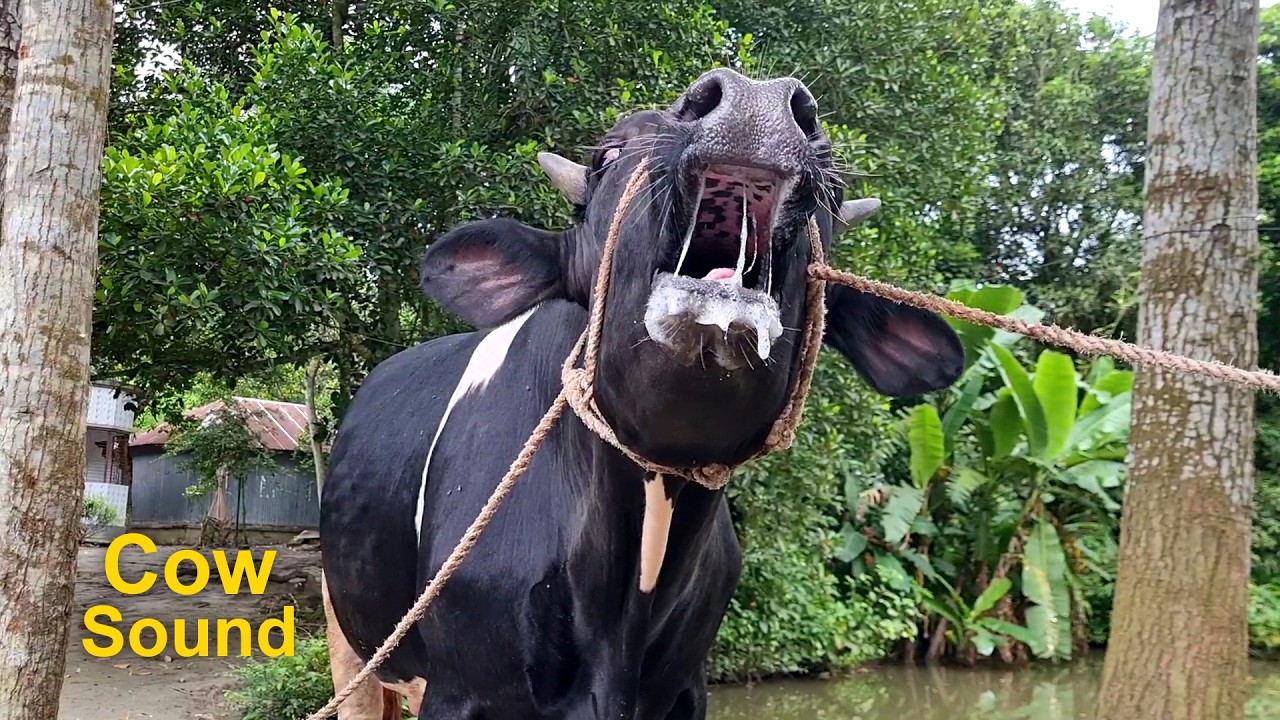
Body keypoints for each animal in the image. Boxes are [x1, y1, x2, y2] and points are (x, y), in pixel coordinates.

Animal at [319, 67, 965, 720]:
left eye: (833, 199)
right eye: (607, 154)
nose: (756, 97)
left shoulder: (685, 689)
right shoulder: (461, 689)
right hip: (348, 642)